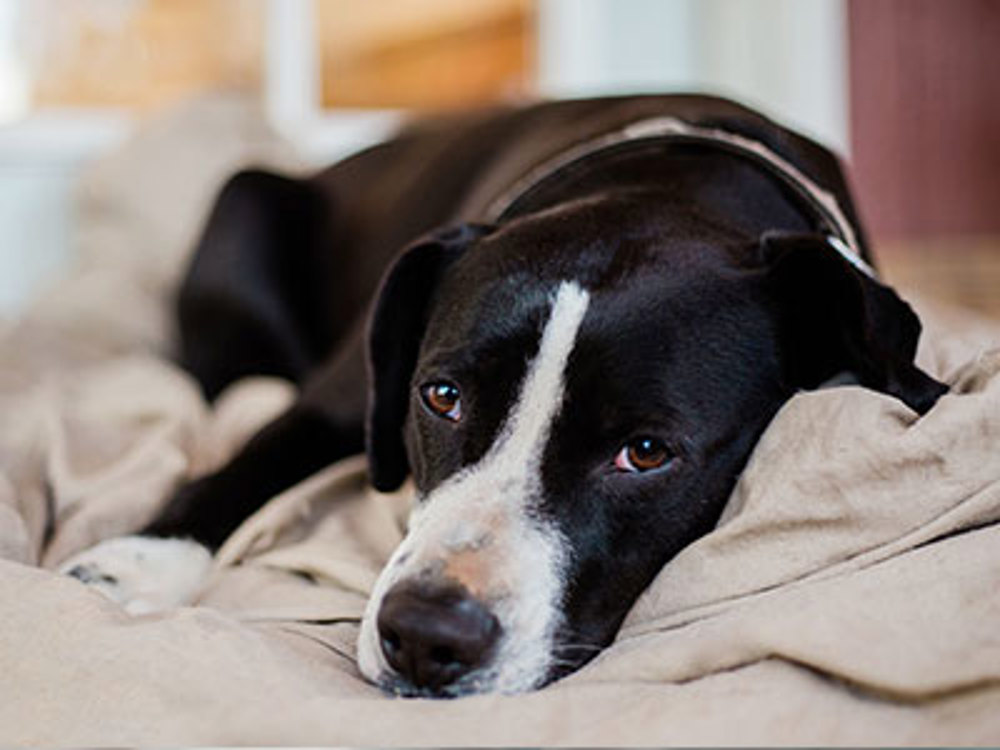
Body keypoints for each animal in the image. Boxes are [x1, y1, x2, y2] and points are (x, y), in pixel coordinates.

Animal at [58, 94, 948, 700]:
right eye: (442, 397)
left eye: (647, 452)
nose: (425, 637)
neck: (666, 186)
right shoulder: (342, 397)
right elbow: (241, 469)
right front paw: (128, 563)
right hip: (242, 205)